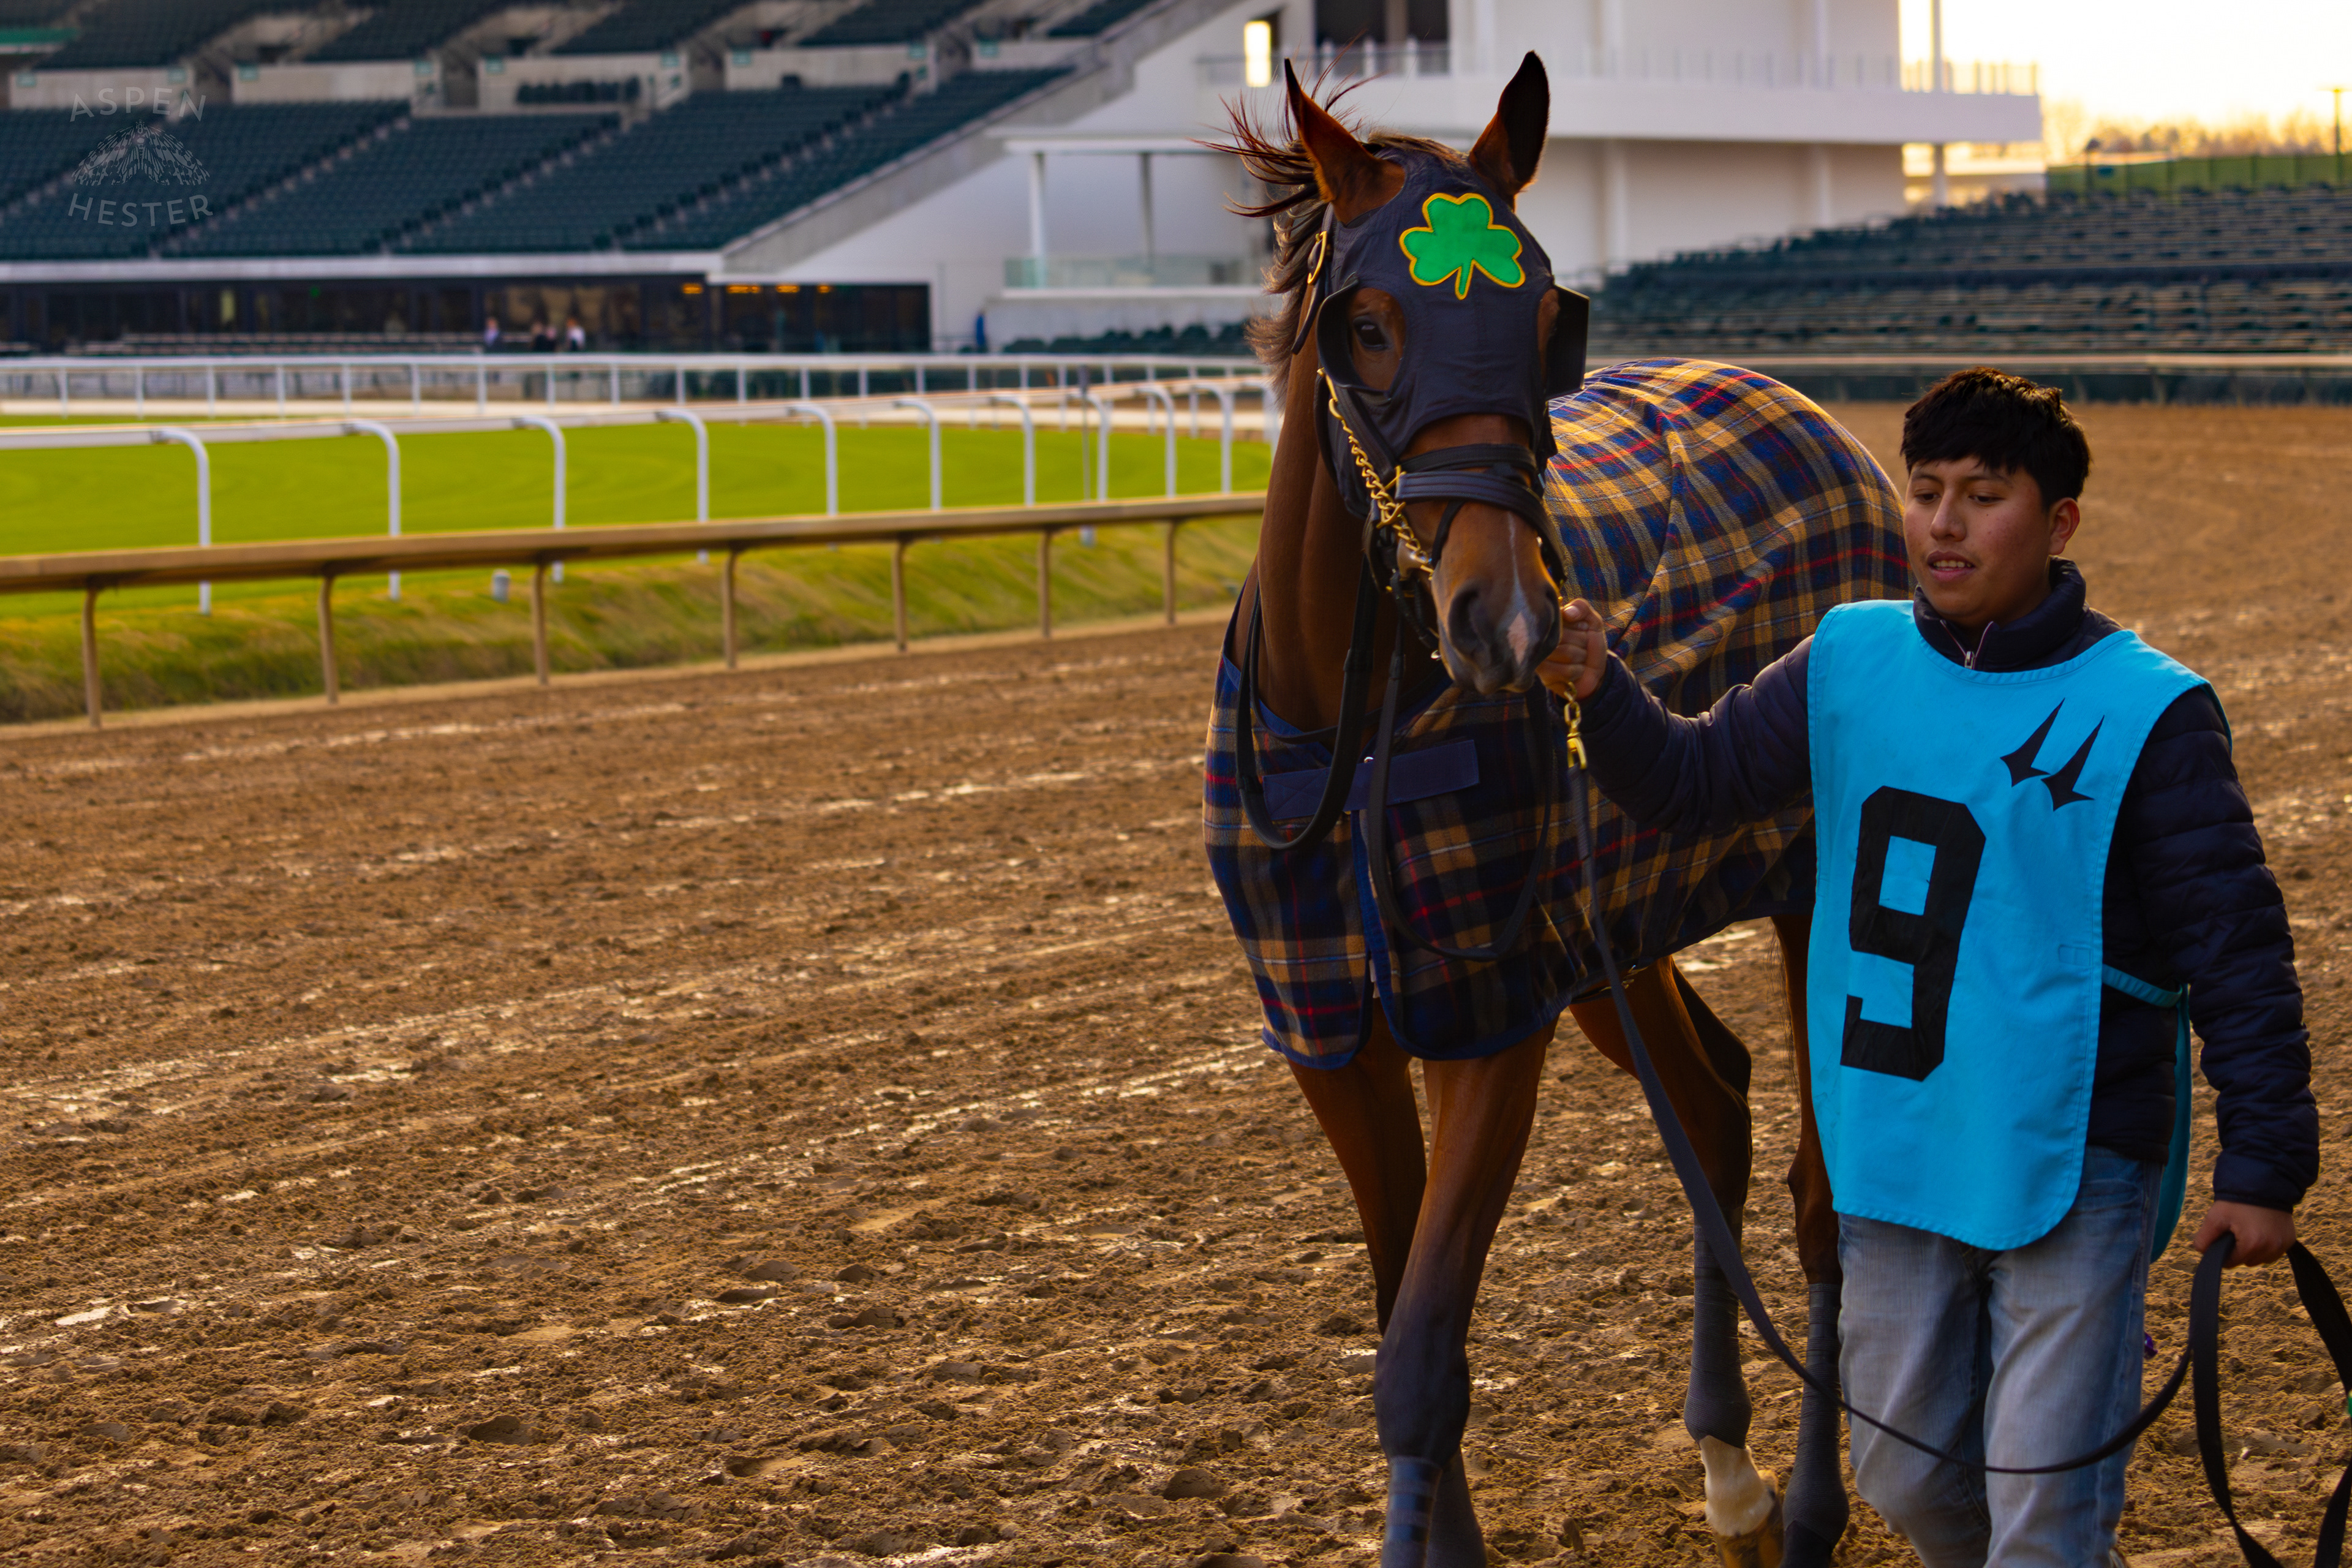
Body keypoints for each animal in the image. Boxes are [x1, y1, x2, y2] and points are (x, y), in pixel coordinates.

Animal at [1199, 58, 1911, 1568]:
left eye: (1545, 314)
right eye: (1367, 325)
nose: (1513, 623)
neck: (1347, 733)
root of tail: (1814, 415)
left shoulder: (1488, 1009)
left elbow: (1422, 1358)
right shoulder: (1332, 1029)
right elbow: (1404, 1307)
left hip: (1809, 886)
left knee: (1823, 1201)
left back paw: (1813, 1502)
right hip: (1613, 939)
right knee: (1714, 1108)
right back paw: (1729, 1468)